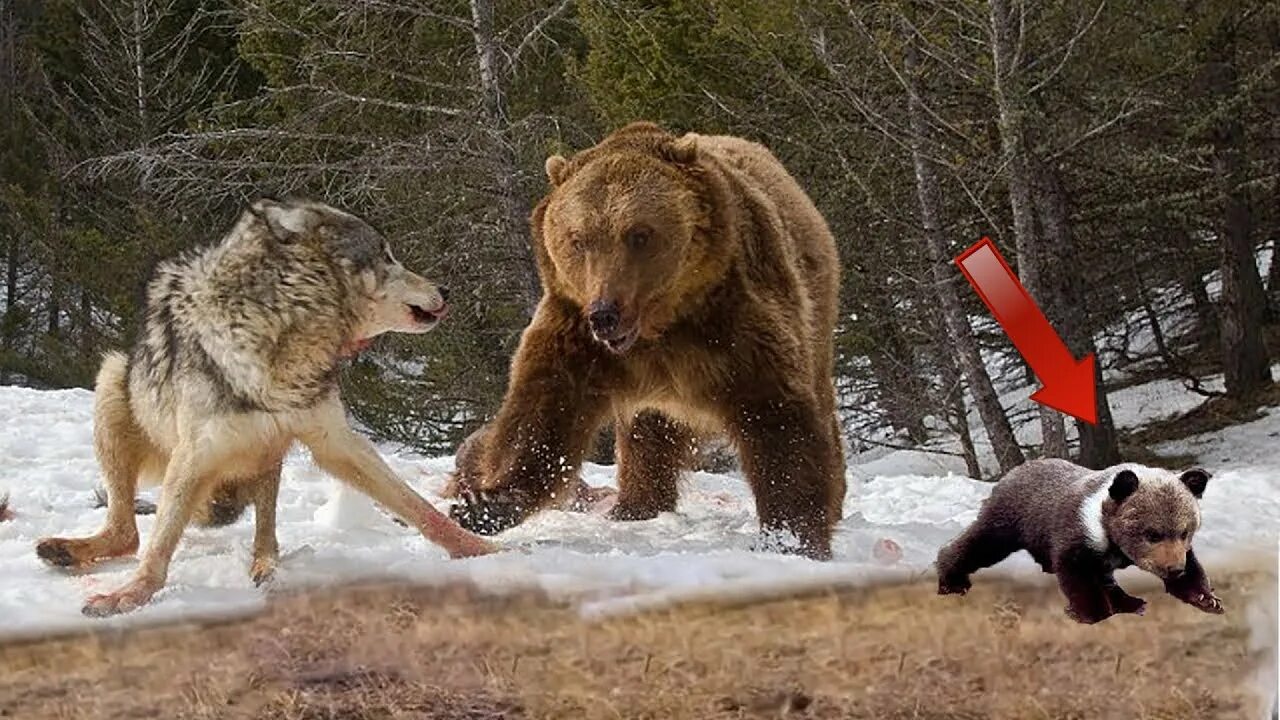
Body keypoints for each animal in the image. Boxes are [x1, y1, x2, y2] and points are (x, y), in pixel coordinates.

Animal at [445, 121, 844, 556]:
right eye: (577, 238)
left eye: (639, 234)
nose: (605, 313)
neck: (659, 329)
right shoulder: (575, 333)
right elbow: (542, 415)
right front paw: (485, 503)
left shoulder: (737, 322)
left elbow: (777, 419)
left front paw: (790, 537)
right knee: (647, 435)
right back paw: (637, 505)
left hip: (815, 308)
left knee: (819, 400)